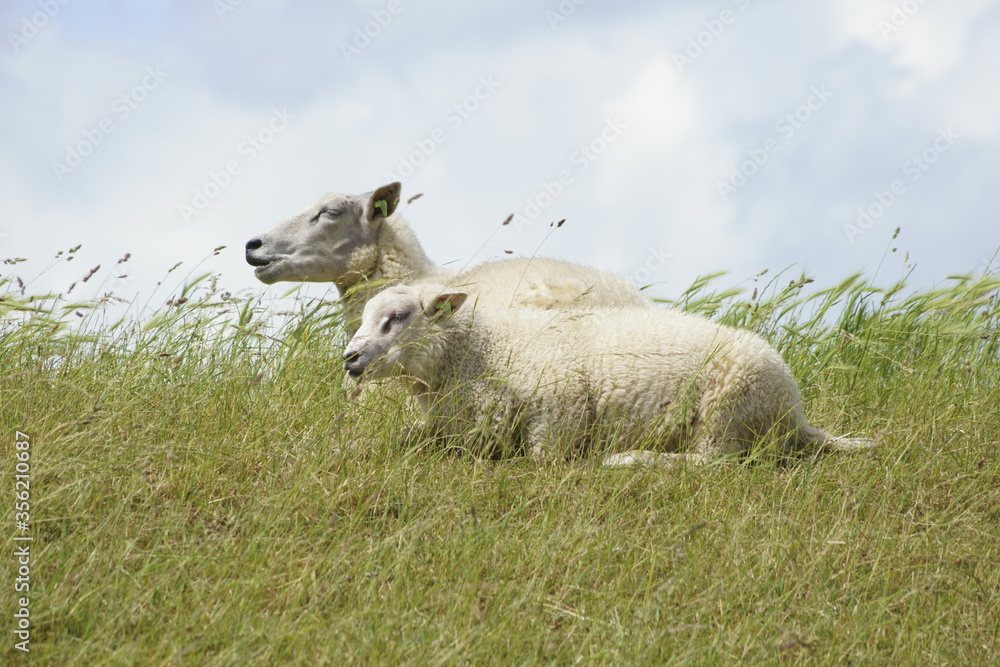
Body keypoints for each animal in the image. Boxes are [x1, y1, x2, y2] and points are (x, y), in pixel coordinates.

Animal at [342, 283, 876, 465]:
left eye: (397, 317)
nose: (348, 359)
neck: (479, 347)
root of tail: (797, 414)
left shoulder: (559, 410)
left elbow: (542, 461)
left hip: (727, 409)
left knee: (717, 464)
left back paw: (632, 459)